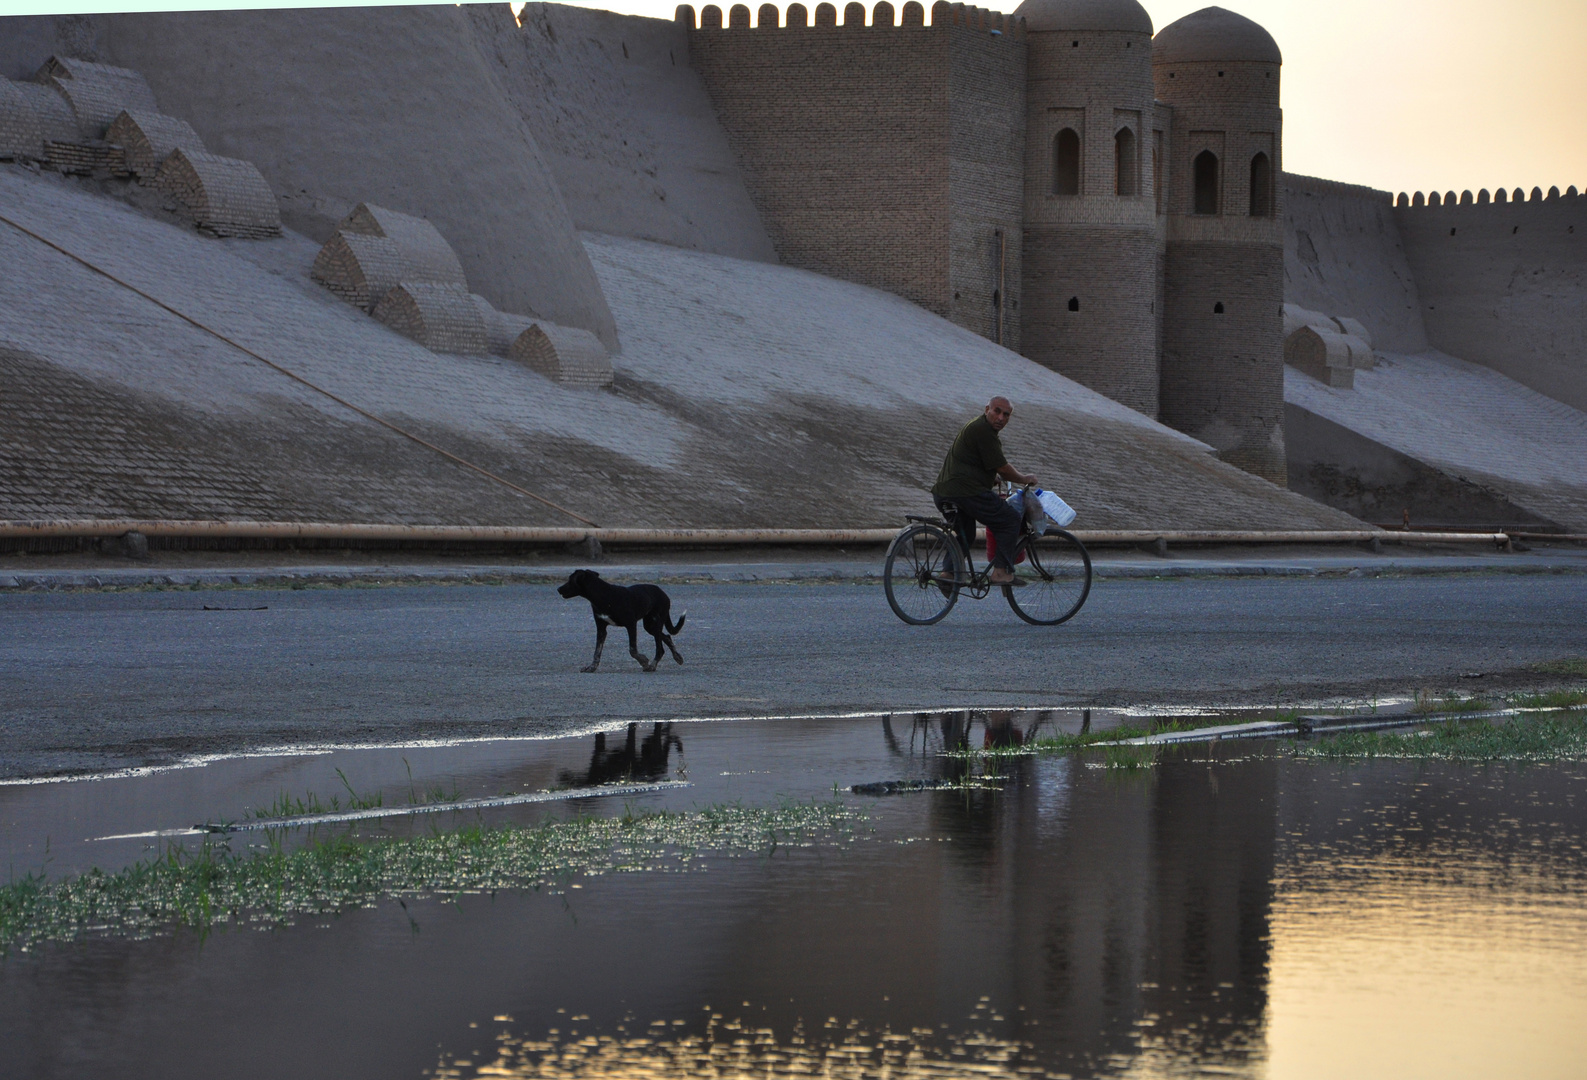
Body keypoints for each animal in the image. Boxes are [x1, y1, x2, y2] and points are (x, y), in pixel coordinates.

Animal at [555, 567, 685, 669]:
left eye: (570, 579)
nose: (558, 589)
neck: (604, 595)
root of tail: (664, 594)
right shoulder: (601, 628)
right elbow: (597, 651)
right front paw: (592, 667)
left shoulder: (631, 624)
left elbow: (632, 650)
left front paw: (643, 661)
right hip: (649, 625)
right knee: (667, 637)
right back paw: (677, 657)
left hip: (656, 622)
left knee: (660, 648)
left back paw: (652, 666)